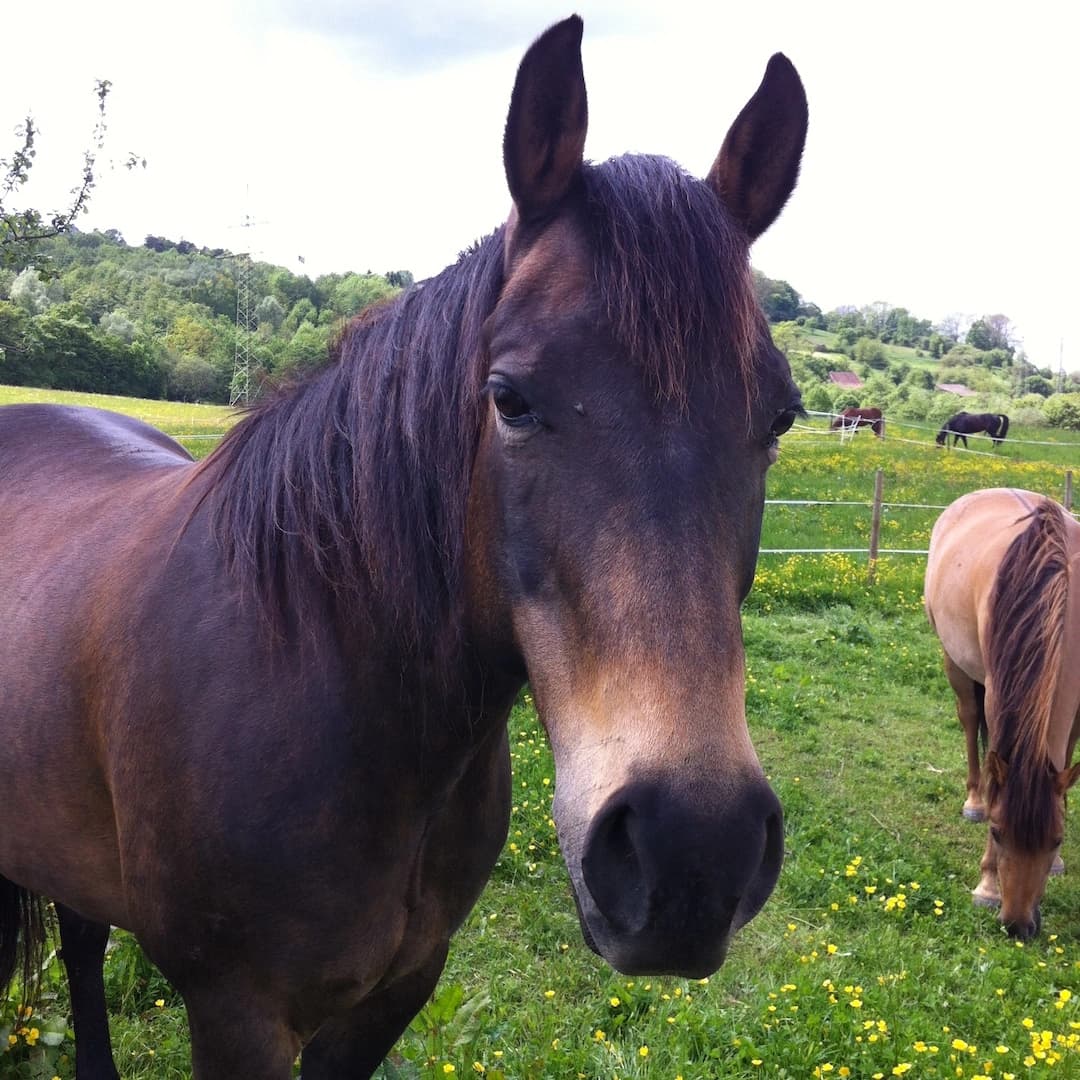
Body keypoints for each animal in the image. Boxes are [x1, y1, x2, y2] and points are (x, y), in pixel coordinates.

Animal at [924, 488, 1080, 937]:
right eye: (997, 831)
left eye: (1058, 838)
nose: (1017, 926)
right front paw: (988, 885)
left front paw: (1057, 864)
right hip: (956, 664)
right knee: (970, 723)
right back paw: (974, 800)